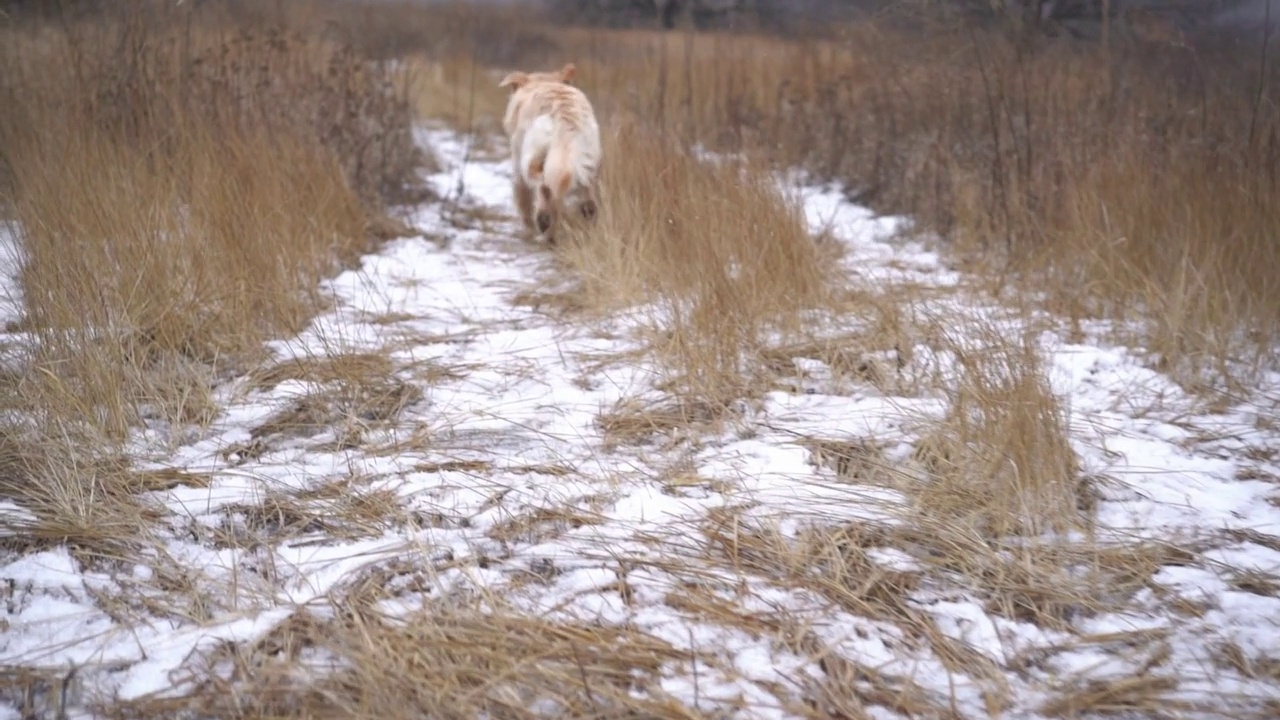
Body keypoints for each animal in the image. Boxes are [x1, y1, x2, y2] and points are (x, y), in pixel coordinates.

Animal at [496, 62, 601, 240]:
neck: (544, 82)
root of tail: (563, 113)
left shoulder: (518, 166)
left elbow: (524, 200)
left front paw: (530, 229)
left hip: (532, 159)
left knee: (543, 187)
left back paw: (544, 222)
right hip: (586, 160)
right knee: (587, 201)